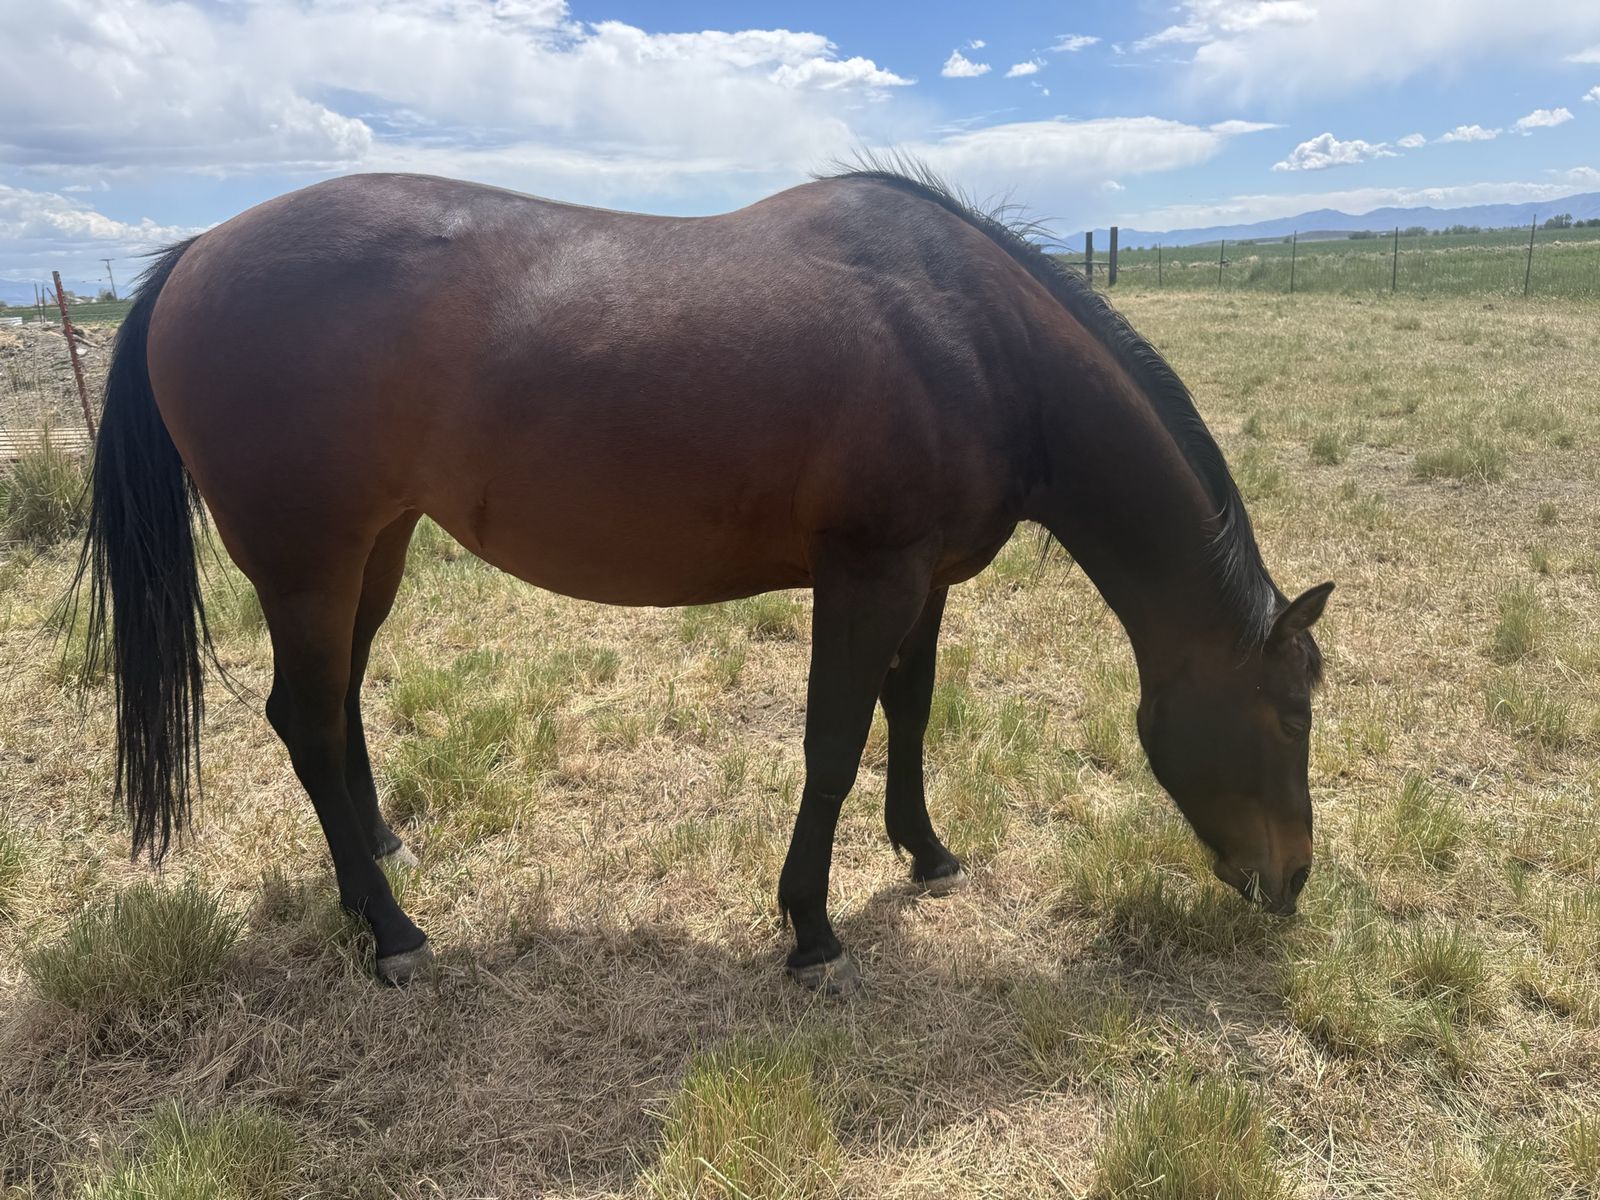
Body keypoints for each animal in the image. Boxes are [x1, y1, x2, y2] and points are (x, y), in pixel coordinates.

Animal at [74, 164, 1332, 993]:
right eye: (1290, 713)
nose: (1291, 884)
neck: (975, 339)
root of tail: (193, 256)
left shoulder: (926, 580)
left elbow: (909, 712)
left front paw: (925, 854)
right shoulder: (866, 578)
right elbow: (832, 742)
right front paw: (810, 928)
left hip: (371, 550)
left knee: (331, 709)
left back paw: (373, 865)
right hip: (308, 562)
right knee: (305, 721)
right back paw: (391, 932)